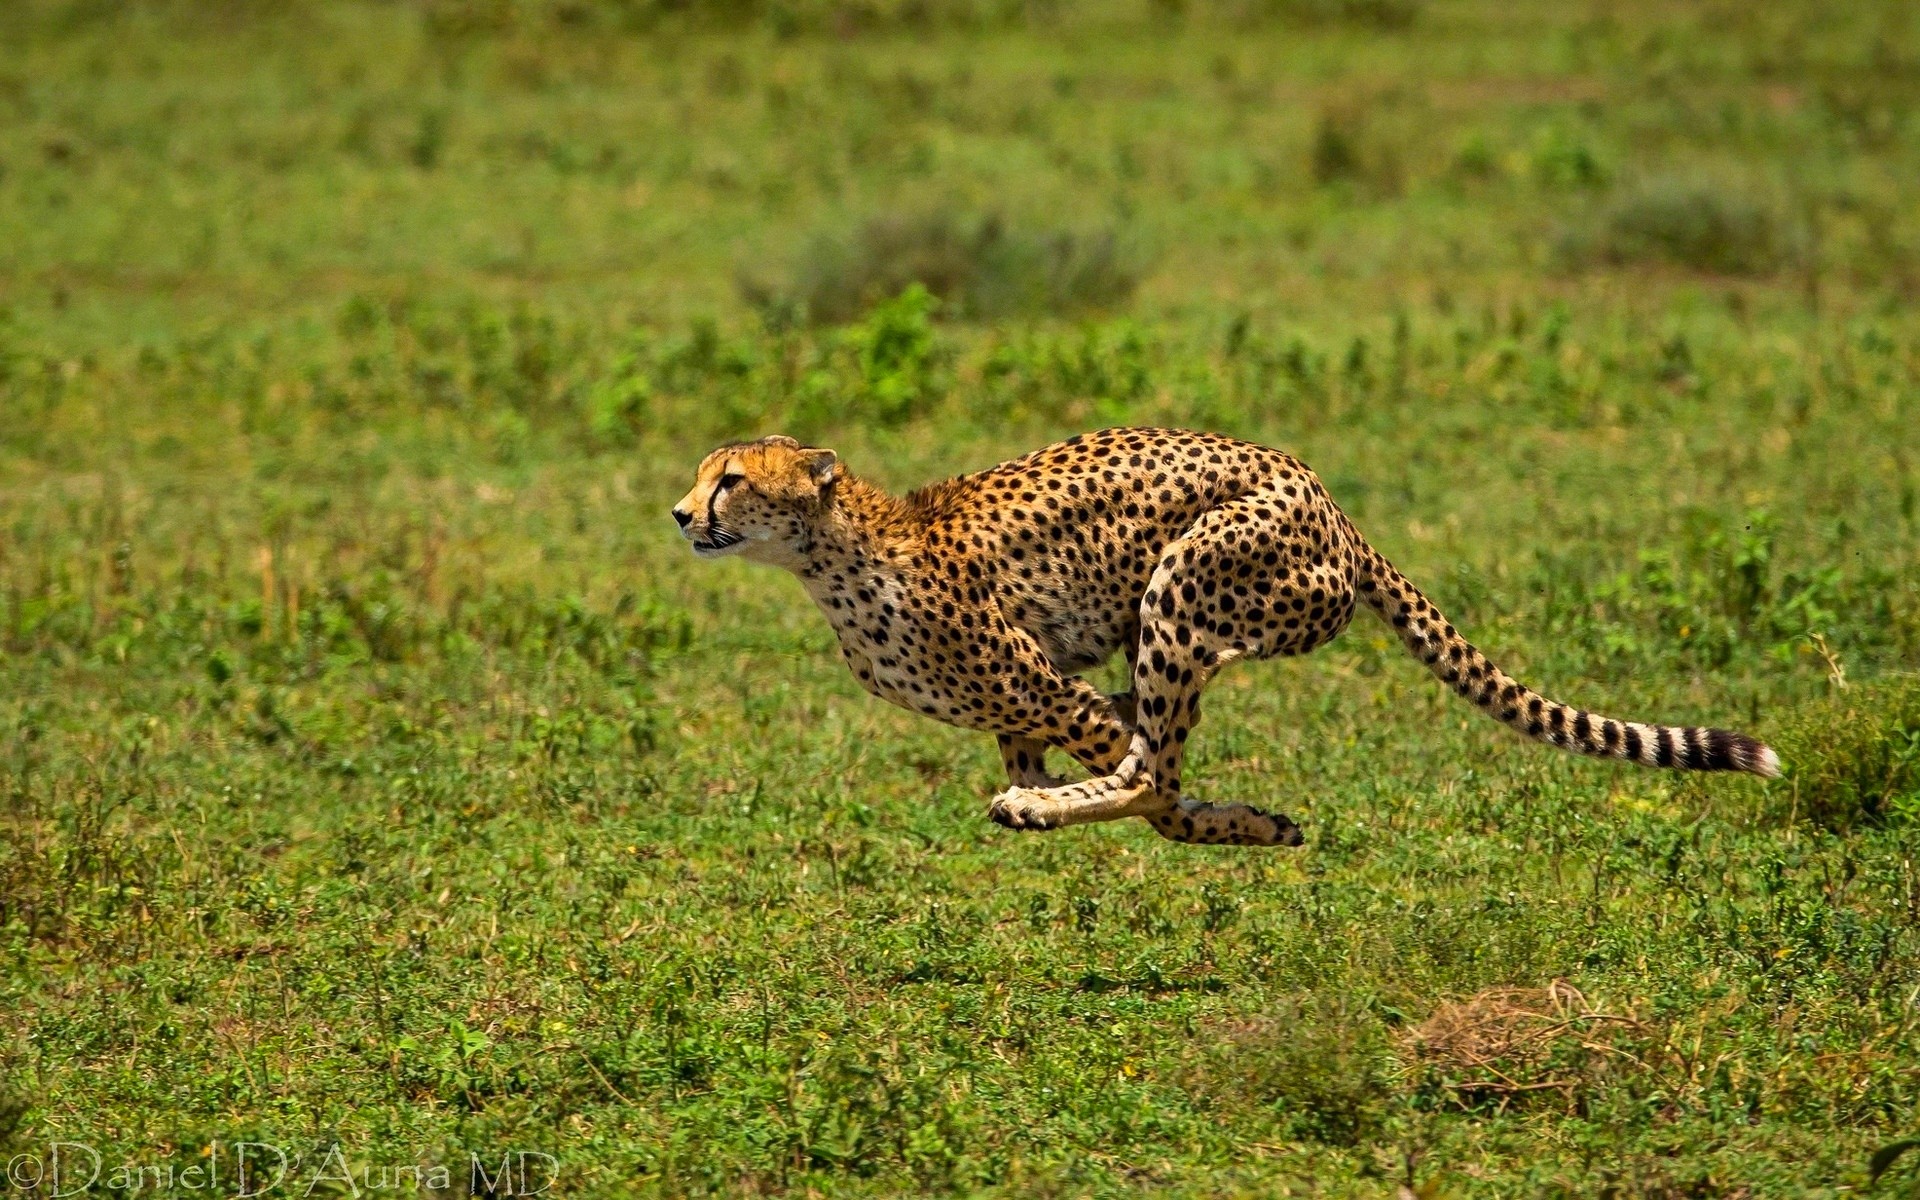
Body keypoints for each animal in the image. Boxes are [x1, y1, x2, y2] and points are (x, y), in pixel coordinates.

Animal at [671, 428, 1780, 848]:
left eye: (732, 479)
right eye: (703, 473)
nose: (681, 515)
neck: (829, 557)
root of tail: (1329, 499)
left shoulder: (1053, 688)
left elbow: (1147, 778)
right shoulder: (1021, 706)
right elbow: (1113, 759)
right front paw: (1250, 819)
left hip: (1184, 586)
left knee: (1154, 768)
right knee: (1155, 754)